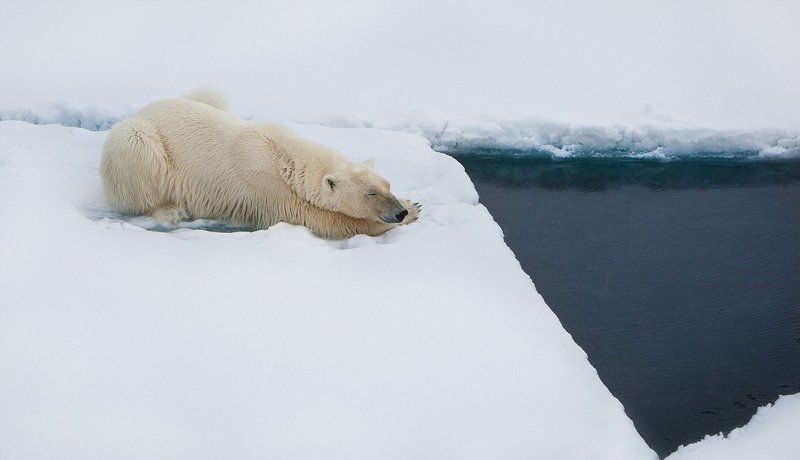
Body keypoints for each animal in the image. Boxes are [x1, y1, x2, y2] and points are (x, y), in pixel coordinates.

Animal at [100, 90, 420, 239]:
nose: (400, 212)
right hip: (138, 141)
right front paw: (413, 211)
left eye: (387, 184)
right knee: (137, 152)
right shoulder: (264, 187)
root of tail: (143, 110)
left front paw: (412, 204)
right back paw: (170, 210)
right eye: (370, 193)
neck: (284, 155)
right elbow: (317, 219)